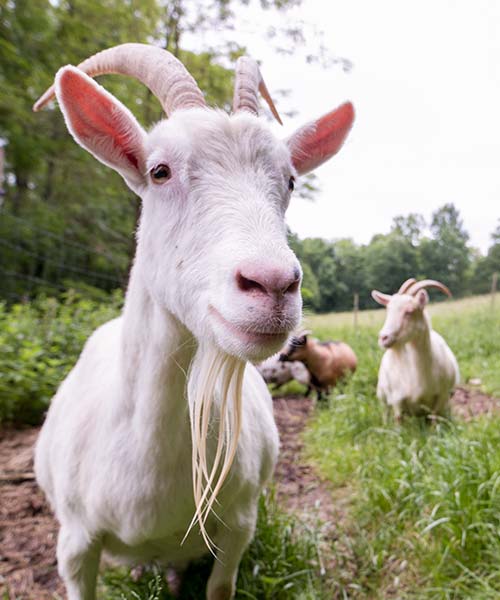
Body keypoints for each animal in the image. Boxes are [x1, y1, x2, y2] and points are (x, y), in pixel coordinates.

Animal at [32, 43, 356, 600]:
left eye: (291, 180)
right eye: (159, 171)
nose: (273, 284)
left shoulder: (240, 524)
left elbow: (220, 585)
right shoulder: (74, 543)